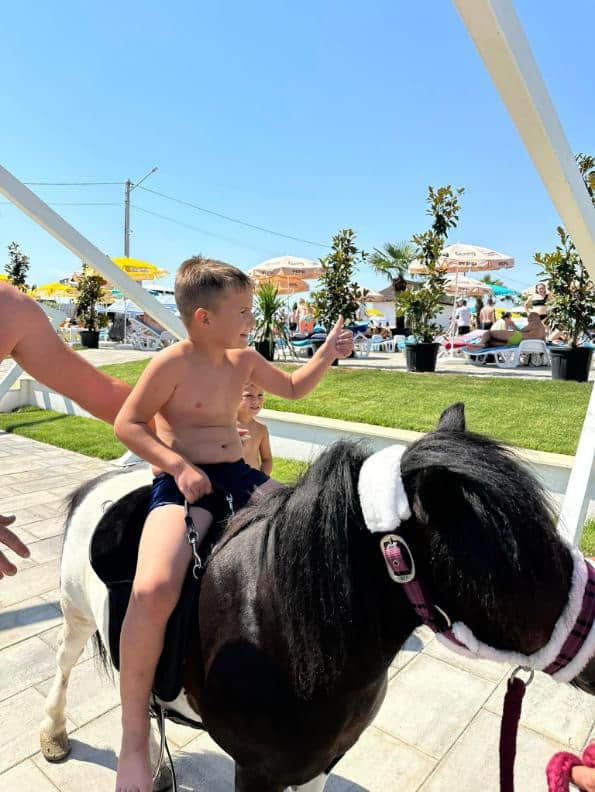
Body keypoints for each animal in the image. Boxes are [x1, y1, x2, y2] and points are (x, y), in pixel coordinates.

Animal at [40, 406, 595, 788]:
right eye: (513, 555)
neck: (275, 627)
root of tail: (109, 478)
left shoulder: (323, 762)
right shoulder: (256, 772)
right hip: (76, 612)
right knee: (67, 664)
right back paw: (56, 734)